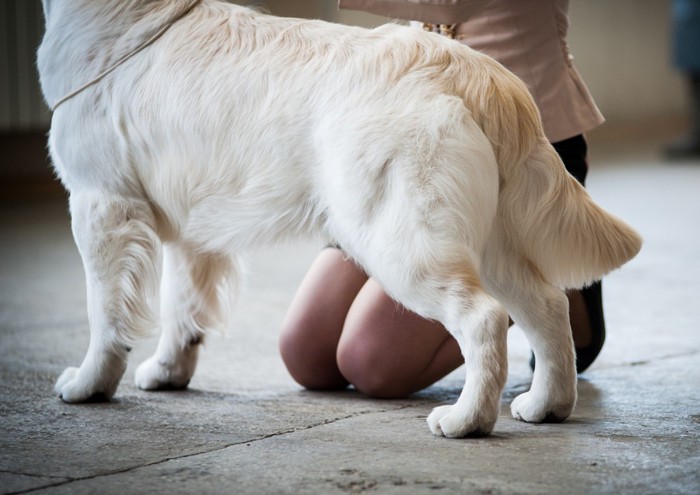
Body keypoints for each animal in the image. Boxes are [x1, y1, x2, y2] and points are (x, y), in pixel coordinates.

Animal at [37, 0, 640, 438]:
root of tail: (477, 75)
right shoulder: (191, 226)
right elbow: (180, 305)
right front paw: (168, 371)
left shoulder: (100, 203)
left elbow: (104, 311)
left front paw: (90, 383)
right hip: (491, 242)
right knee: (546, 306)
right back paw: (547, 404)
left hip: (405, 245)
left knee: (485, 318)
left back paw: (466, 420)